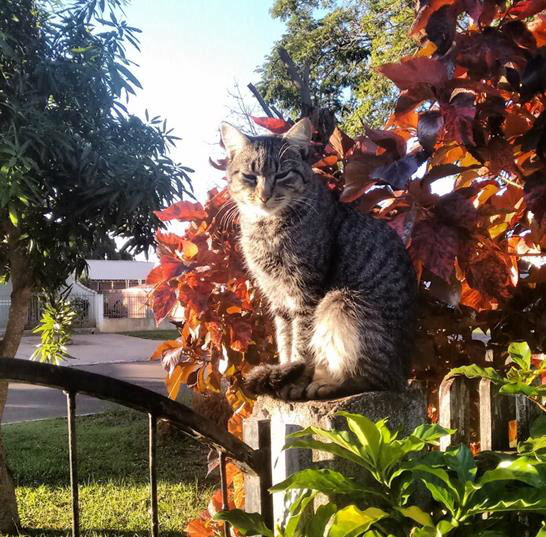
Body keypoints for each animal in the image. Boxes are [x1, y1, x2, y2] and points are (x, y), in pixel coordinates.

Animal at [219, 119, 414, 400]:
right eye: (249, 176)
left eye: (282, 175)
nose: (264, 195)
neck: (266, 228)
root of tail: (402, 376)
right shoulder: (278, 299)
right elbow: (285, 342)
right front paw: (284, 374)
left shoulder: (306, 293)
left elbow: (303, 347)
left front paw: (295, 382)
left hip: (341, 302)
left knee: (368, 377)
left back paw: (326, 384)